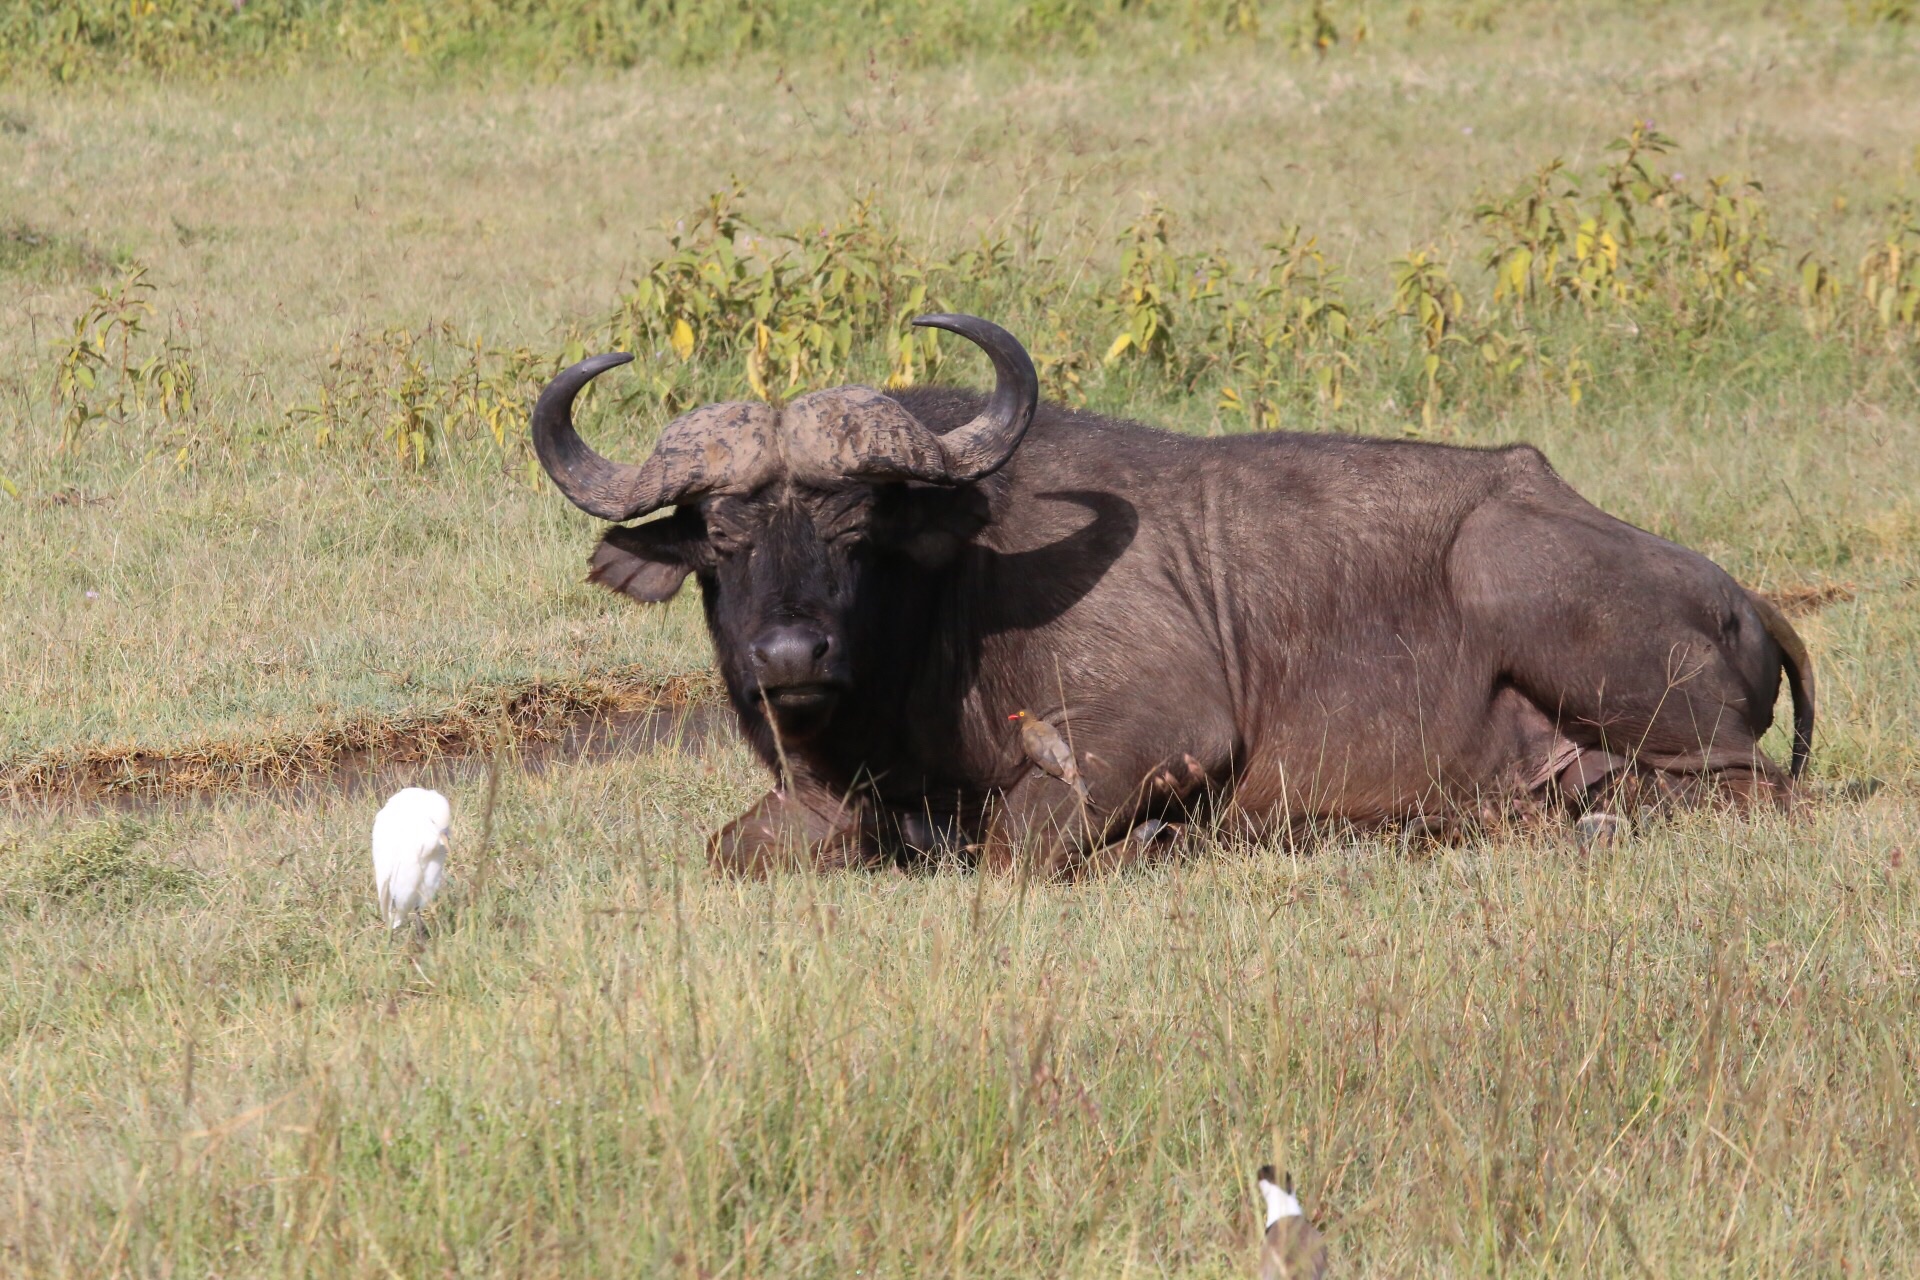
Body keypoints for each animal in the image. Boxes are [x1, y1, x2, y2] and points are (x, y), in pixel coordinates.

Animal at [529, 314, 1812, 875]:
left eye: (855, 524)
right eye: (723, 535)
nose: (791, 655)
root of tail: (1740, 593)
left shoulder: (1156, 730)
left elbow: (1016, 841)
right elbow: (730, 849)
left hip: (1527, 584)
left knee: (1729, 787)